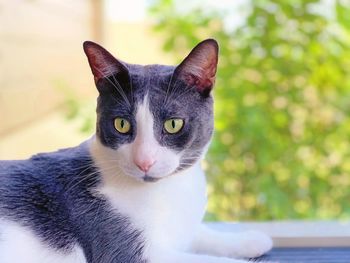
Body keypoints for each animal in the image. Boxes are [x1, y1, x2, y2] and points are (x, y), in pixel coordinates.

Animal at [0, 39, 274, 263]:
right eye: (121, 124)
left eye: (173, 124)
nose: (144, 161)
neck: (167, 191)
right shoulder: (121, 247)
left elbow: (195, 233)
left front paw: (250, 239)